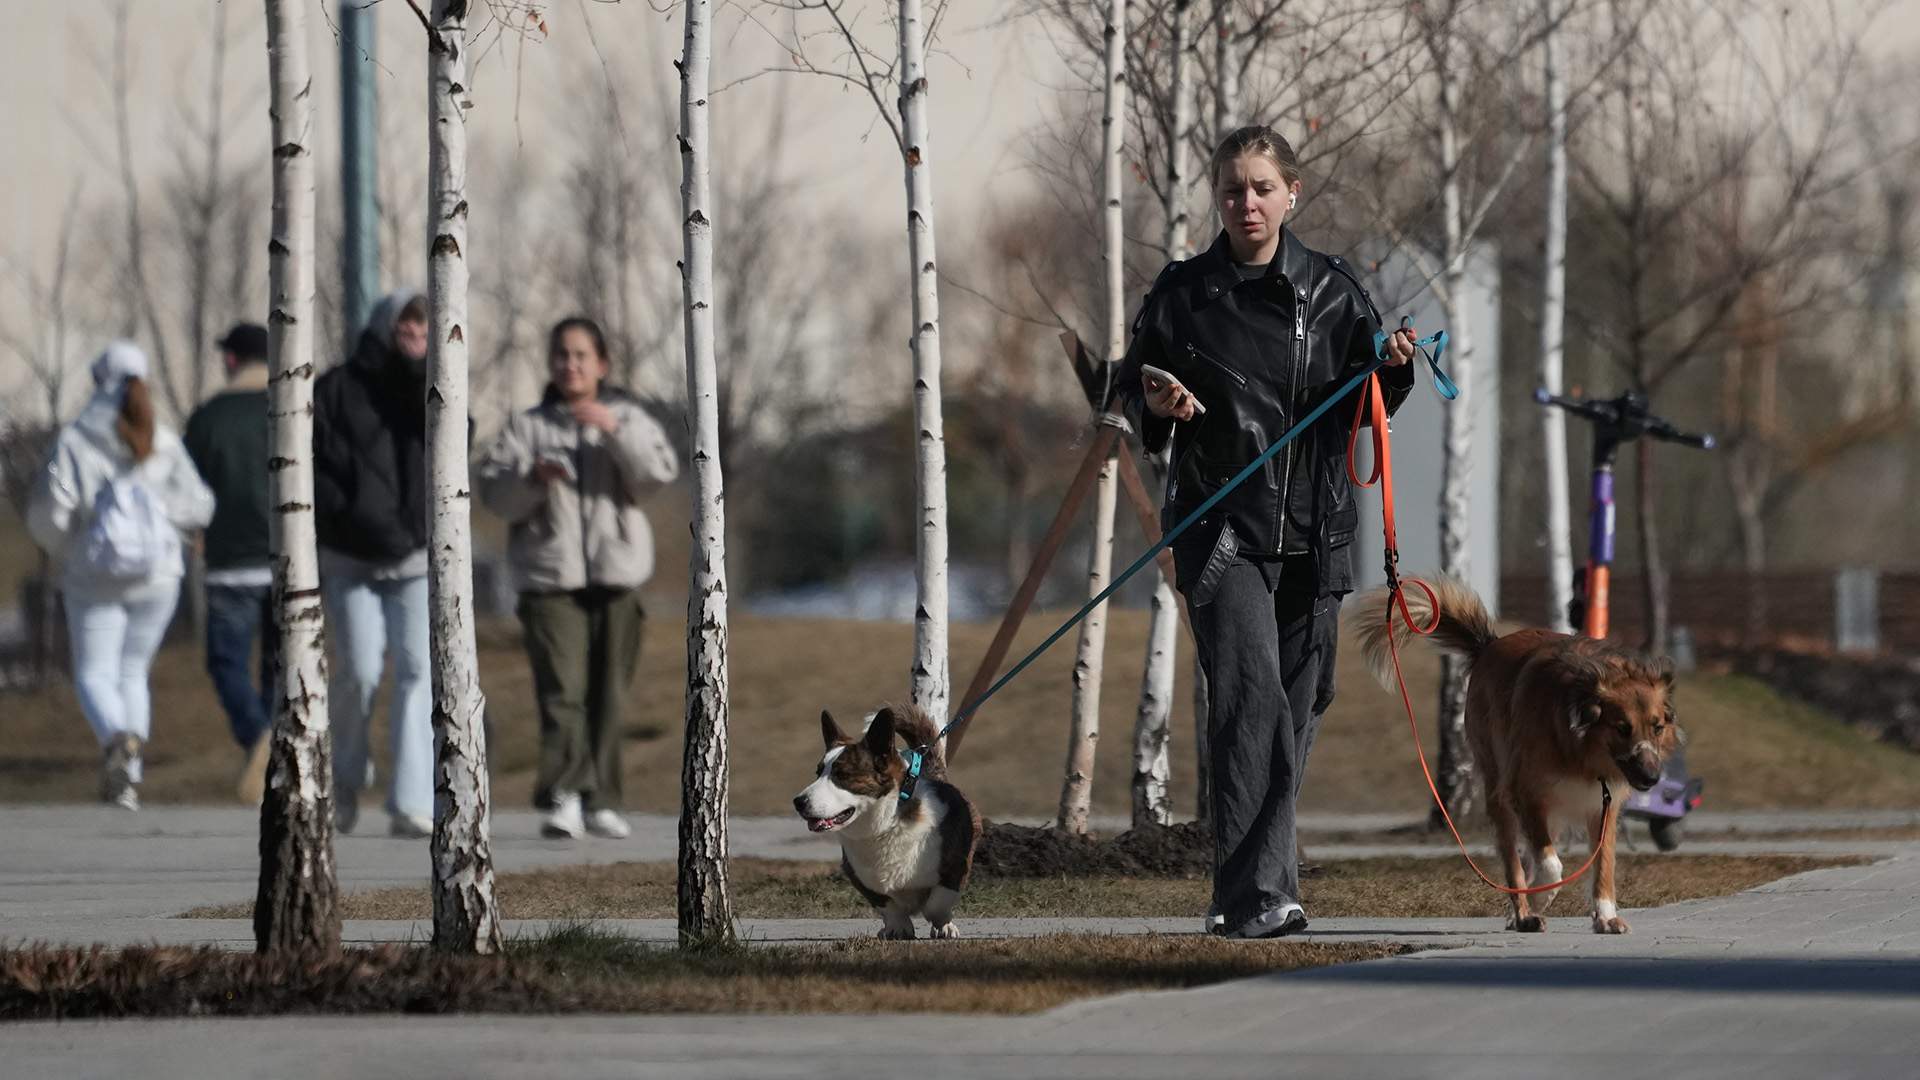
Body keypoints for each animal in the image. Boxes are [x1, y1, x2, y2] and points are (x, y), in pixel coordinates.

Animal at [1351, 576, 1681, 930]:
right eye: (1622, 728)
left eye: (1657, 727)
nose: (1652, 777)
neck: (1578, 745)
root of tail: (1489, 646)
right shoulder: (1527, 793)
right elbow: (1551, 865)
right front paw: (1540, 898)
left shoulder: (1601, 806)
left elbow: (1603, 864)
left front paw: (1605, 915)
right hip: (1499, 791)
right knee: (1515, 858)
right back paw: (1523, 912)